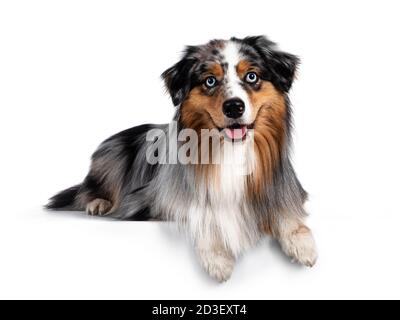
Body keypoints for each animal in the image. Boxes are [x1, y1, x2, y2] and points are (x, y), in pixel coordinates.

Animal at [47, 35, 316, 282]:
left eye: (252, 76)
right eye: (210, 81)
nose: (233, 107)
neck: (230, 150)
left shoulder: (283, 188)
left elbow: (286, 213)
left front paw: (303, 245)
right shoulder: (156, 200)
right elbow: (201, 213)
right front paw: (217, 257)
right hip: (113, 156)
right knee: (88, 190)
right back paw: (98, 203)